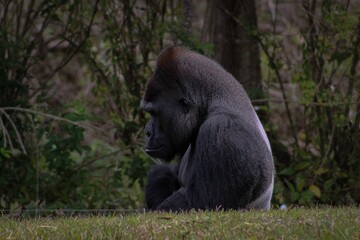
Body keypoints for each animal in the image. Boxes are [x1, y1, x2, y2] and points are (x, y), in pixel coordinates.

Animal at [141, 46, 276, 211]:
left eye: (154, 113)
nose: (147, 132)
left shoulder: (223, 130)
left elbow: (200, 205)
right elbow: (168, 174)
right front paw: (158, 178)